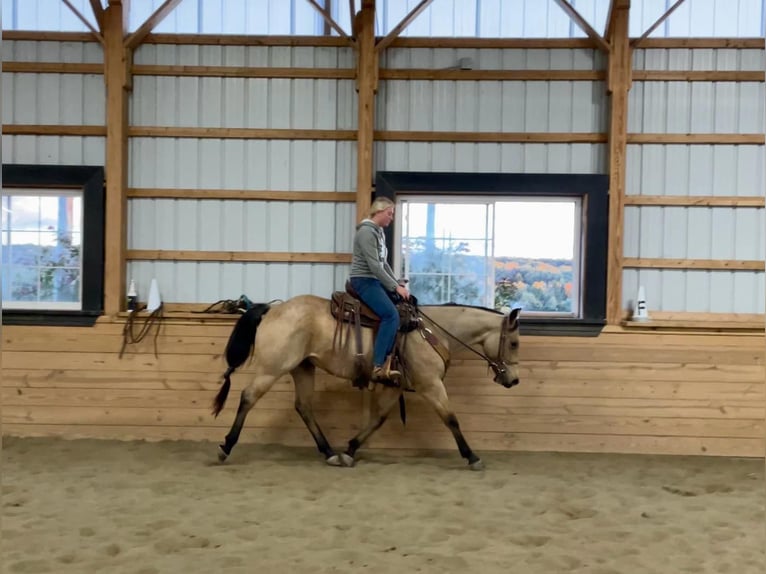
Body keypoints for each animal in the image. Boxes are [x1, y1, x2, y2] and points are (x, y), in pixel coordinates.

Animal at [212, 290, 520, 470]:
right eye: (515, 343)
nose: (514, 380)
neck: (432, 332)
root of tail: (271, 309)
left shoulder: (395, 386)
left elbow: (378, 418)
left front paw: (350, 449)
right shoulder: (431, 384)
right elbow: (451, 418)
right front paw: (472, 456)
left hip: (302, 368)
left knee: (304, 407)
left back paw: (329, 452)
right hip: (272, 368)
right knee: (248, 397)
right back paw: (225, 447)